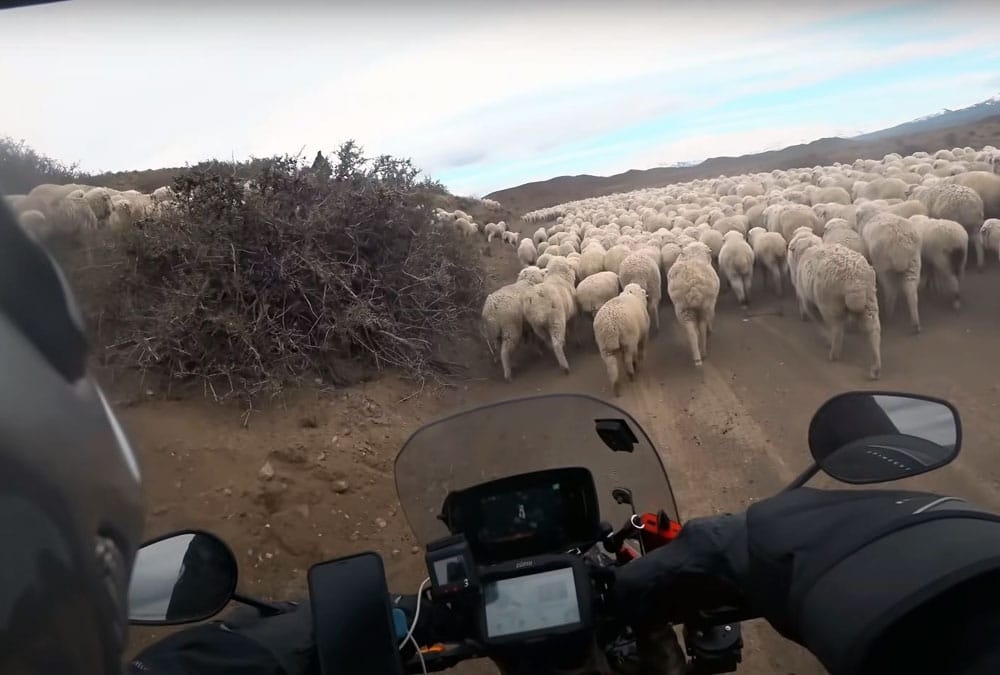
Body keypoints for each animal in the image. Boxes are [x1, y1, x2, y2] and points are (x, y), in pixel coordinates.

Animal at [792, 243, 880, 380]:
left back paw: (834, 354)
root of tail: (854, 281)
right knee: (873, 329)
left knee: (837, 329)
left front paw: (826, 338)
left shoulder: (808, 300)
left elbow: (816, 319)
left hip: (830, 304)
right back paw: (875, 367)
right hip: (869, 301)